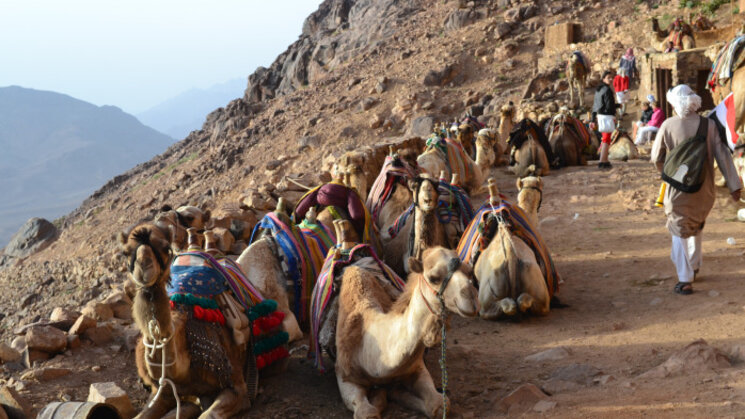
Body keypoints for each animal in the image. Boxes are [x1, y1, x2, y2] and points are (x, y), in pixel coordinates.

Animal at [117, 223, 254, 419]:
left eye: (165, 247)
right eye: (125, 252)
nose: (144, 267)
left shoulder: (237, 388)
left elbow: (208, 414)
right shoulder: (161, 392)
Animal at [322, 243, 476, 419]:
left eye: (469, 271)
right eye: (433, 277)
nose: (471, 297)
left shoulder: (416, 367)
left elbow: (438, 405)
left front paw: (394, 393)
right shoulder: (344, 375)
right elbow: (367, 412)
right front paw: (382, 395)